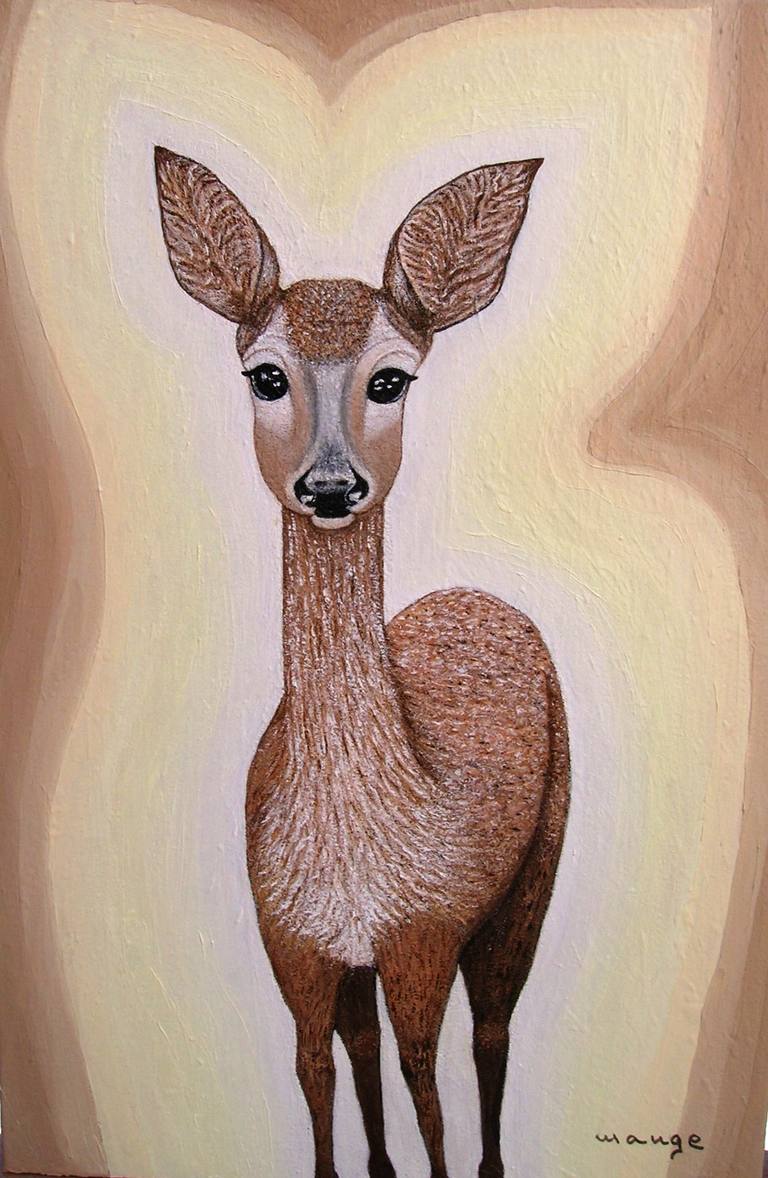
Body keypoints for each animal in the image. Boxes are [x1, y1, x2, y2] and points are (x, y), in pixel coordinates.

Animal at [154, 145, 570, 1178]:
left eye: (392, 382)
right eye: (265, 374)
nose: (332, 484)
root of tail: (480, 593)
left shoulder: (426, 933)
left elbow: (430, 1089)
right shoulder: (296, 947)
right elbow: (316, 1072)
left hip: (531, 879)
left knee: (491, 1033)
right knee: (368, 1046)